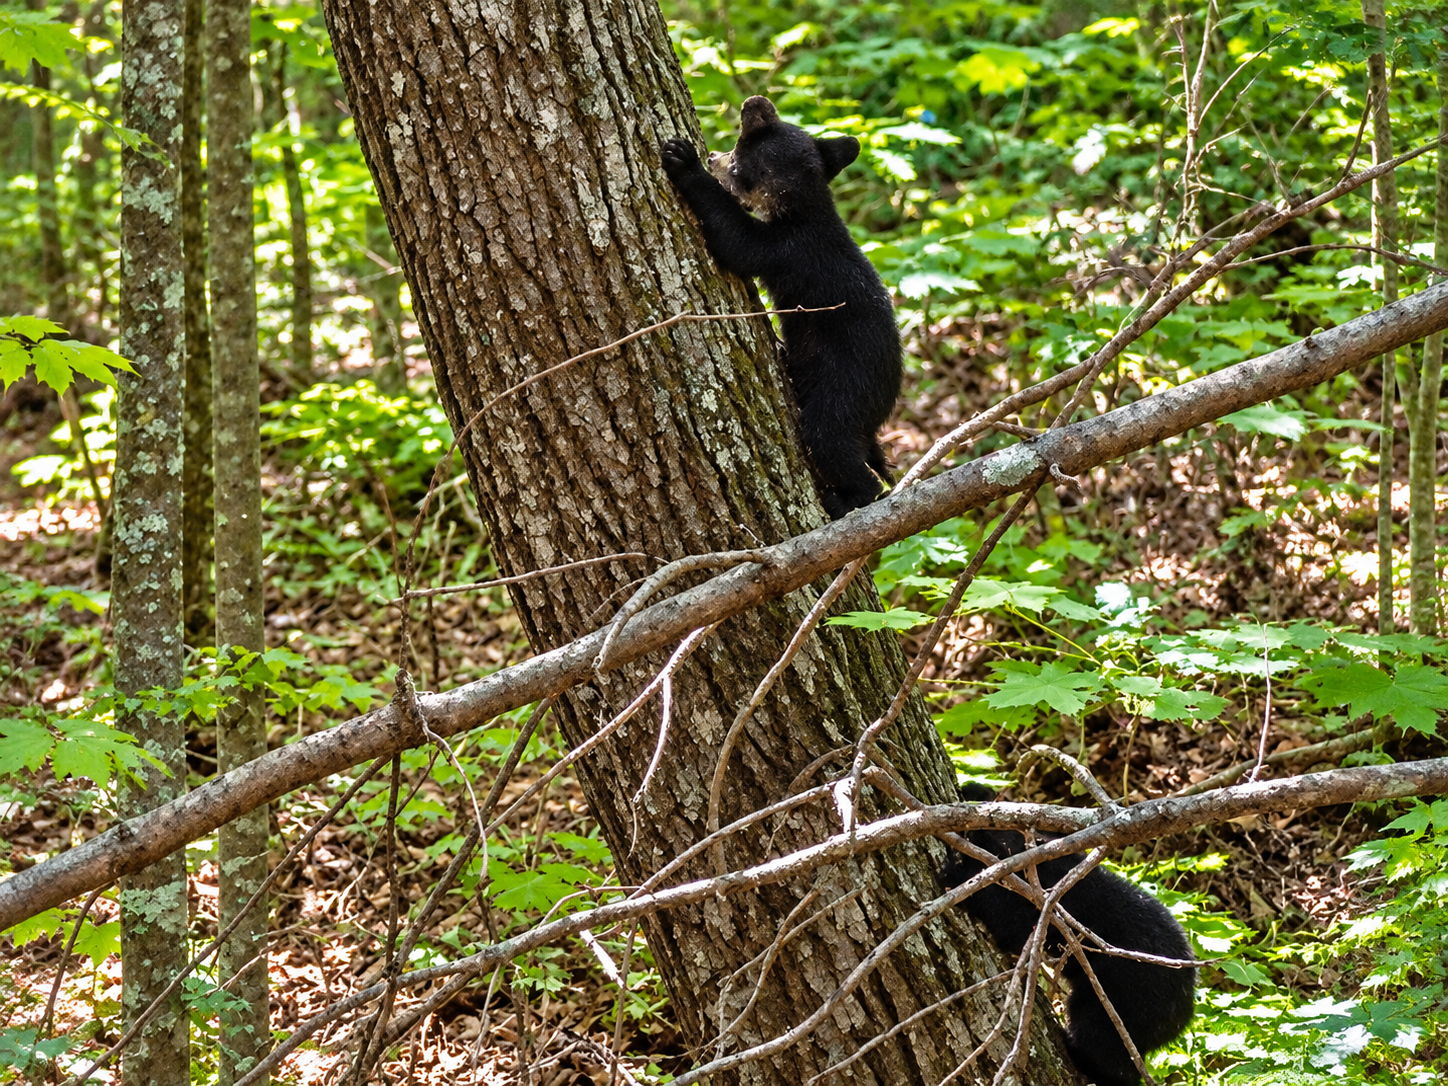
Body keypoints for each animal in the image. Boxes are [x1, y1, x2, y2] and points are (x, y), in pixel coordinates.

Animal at [660, 95, 902, 519]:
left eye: (737, 156)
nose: (712, 154)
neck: (805, 211)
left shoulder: (787, 249)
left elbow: (737, 241)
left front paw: (683, 160)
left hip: (847, 390)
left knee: (831, 440)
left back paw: (846, 499)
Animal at [940, 784, 1196, 1086]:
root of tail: (1184, 1014)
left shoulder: (1051, 908)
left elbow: (1009, 920)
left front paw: (957, 875)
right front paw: (975, 790)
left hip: (1125, 997)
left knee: (1102, 1040)